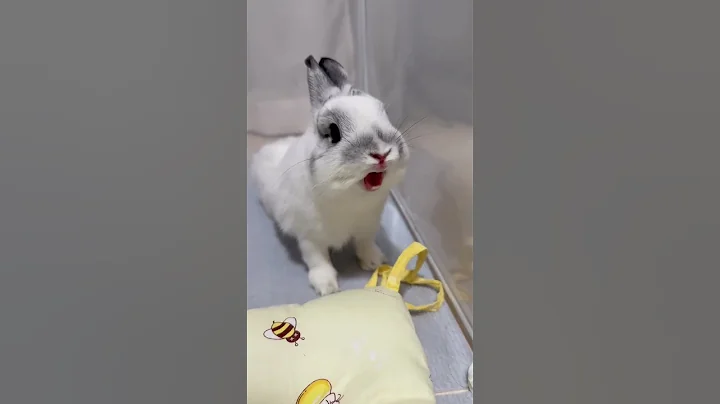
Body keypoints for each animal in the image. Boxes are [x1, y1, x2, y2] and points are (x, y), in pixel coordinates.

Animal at [250, 55, 409, 296]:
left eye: (385, 113)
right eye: (334, 132)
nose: (382, 153)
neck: (352, 197)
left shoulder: (367, 226)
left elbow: (365, 244)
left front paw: (374, 262)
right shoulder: (310, 237)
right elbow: (318, 260)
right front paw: (327, 288)